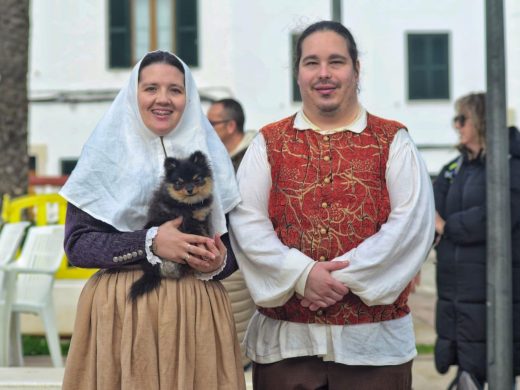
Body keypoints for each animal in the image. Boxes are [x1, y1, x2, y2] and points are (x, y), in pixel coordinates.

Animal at [130, 150, 213, 302]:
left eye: (197, 179)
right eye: (179, 183)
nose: (190, 189)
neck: (189, 204)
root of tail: (153, 272)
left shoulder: (201, 218)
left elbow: (204, 232)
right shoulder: (187, 221)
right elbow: (198, 234)